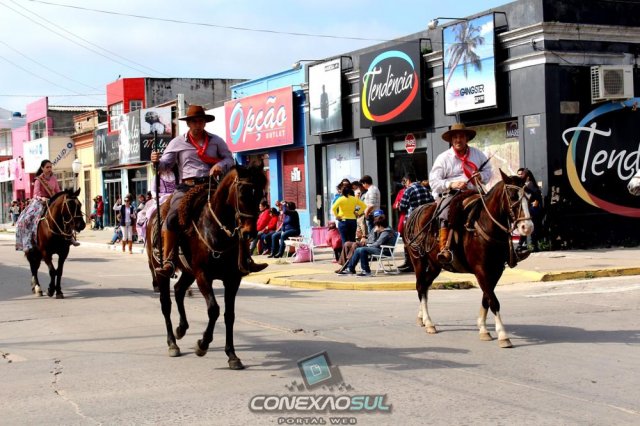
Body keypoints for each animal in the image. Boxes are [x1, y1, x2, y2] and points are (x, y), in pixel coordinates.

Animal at [145, 164, 267, 369]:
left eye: (260, 194)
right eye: (242, 193)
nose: (249, 233)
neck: (216, 230)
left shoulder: (232, 279)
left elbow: (229, 315)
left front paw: (232, 355)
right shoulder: (203, 275)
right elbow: (214, 309)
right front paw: (202, 344)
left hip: (188, 272)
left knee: (179, 290)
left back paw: (181, 328)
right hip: (161, 270)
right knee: (166, 304)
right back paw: (172, 343)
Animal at [404, 170, 534, 348]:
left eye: (528, 196)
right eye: (513, 196)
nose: (527, 227)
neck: (485, 226)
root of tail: (414, 213)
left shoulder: (496, 270)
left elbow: (487, 298)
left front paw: (483, 329)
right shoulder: (481, 270)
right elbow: (494, 301)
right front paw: (502, 335)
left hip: (435, 265)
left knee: (424, 286)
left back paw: (422, 317)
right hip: (418, 261)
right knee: (420, 286)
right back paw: (429, 322)